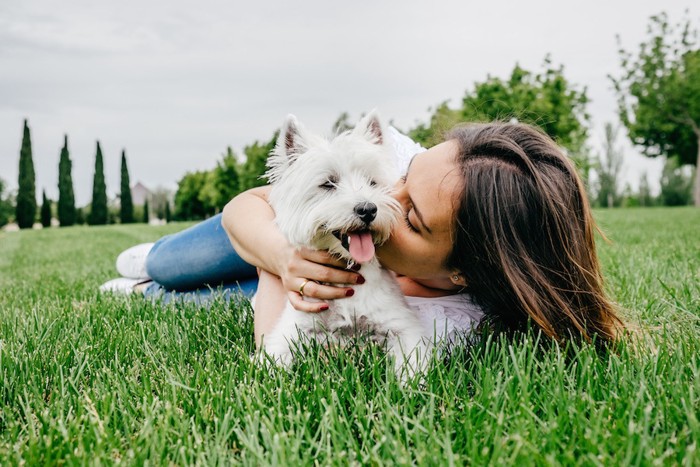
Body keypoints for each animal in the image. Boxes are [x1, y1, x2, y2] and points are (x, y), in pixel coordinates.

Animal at [262, 112, 430, 376]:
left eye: (372, 182)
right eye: (328, 184)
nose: (368, 209)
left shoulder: (402, 325)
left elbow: (412, 363)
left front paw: (409, 384)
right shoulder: (293, 329)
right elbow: (270, 362)